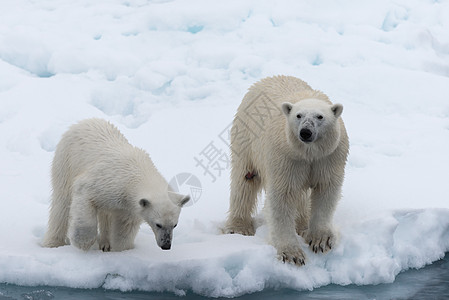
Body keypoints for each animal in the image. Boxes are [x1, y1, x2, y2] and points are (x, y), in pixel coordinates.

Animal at [41, 118, 188, 252]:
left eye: (175, 225)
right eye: (158, 224)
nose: (166, 245)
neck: (137, 171)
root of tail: (84, 122)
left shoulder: (128, 206)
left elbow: (124, 228)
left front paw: (120, 249)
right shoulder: (106, 181)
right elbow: (84, 196)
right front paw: (82, 242)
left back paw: (105, 243)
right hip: (66, 161)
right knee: (62, 203)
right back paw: (53, 242)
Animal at [226, 76, 348, 266]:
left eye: (320, 116)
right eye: (298, 115)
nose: (305, 132)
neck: (308, 153)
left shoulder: (328, 157)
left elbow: (325, 190)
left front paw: (320, 240)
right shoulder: (286, 157)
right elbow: (283, 196)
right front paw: (292, 254)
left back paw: (302, 225)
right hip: (247, 137)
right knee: (244, 180)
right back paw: (239, 227)